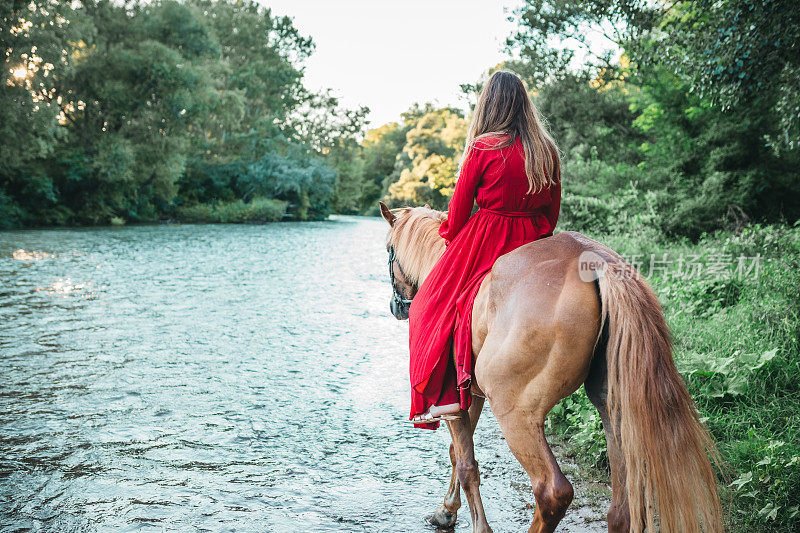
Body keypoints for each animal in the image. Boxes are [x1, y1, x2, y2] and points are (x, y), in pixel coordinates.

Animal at [378, 203, 720, 532]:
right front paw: (446, 511)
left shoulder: (453, 400)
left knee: (552, 491)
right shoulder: (469, 395)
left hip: (516, 412)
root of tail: (597, 262)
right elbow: (457, 452)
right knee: (622, 509)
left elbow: (466, 464)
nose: (396, 307)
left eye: (388, 249)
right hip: (615, 412)